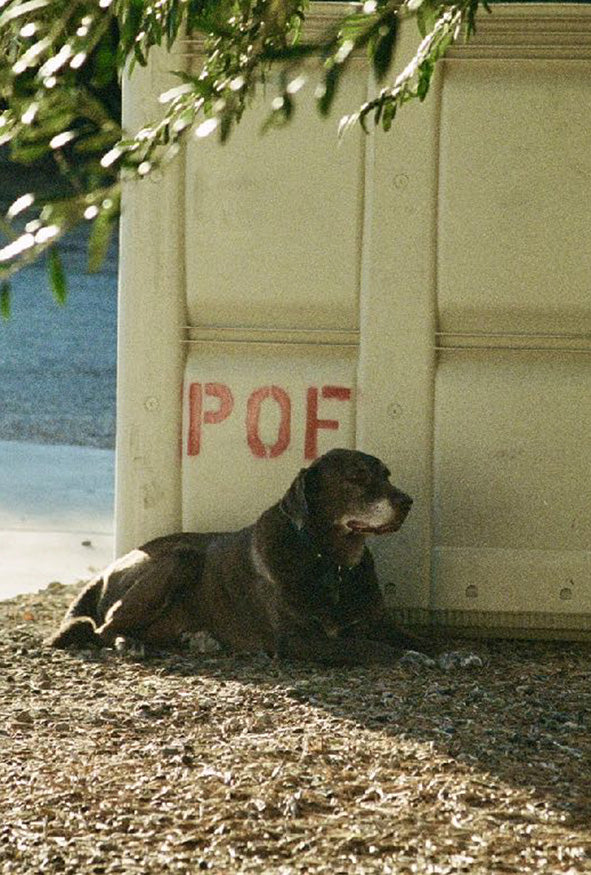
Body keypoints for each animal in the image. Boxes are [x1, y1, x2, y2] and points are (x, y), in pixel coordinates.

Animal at [46, 452, 480, 672]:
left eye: (387, 474)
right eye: (356, 477)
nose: (407, 501)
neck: (331, 562)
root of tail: (108, 569)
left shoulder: (379, 622)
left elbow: (423, 639)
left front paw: (451, 653)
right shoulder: (300, 639)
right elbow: (367, 647)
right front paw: (411, 658)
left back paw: (197, 638)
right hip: (180, 560)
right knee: (104, 628)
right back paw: (129, 643)